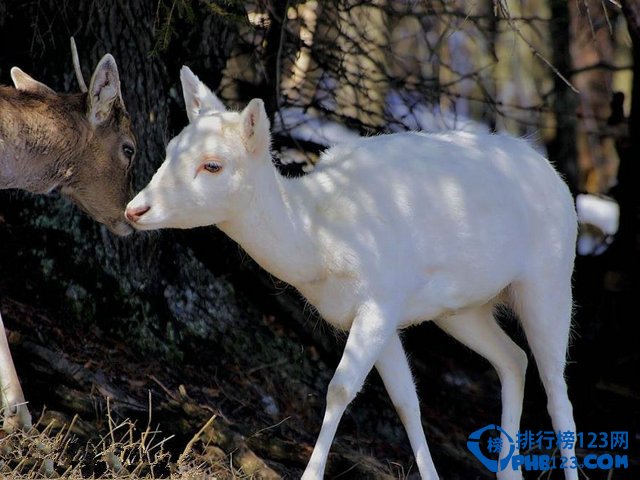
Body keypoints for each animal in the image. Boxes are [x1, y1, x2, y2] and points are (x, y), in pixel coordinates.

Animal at [125, 68, 580, 480]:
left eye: (213, 165)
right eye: (170, 148)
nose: (135, 209)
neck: (320, 241)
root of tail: (557, 179)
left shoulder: (381, 298)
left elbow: (340, 388)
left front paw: (311, 474)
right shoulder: (384, 314)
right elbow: (406, 401)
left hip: (550, 279)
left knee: (558, 394)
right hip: (462, 310)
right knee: (514, 359)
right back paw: (509, 472)